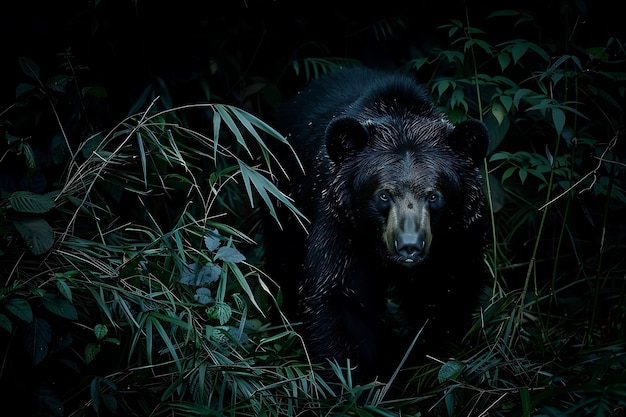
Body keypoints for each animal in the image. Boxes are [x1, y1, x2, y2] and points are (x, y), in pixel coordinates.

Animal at [262, 67, 488, 384]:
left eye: (434, 195)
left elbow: (445, 295)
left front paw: (418, 363)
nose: (409, 246)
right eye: (383, 194)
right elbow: (341, 300)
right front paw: (349, 378)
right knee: (282, 265)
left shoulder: (457, 237)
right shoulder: (342, 228)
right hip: (282, 200)